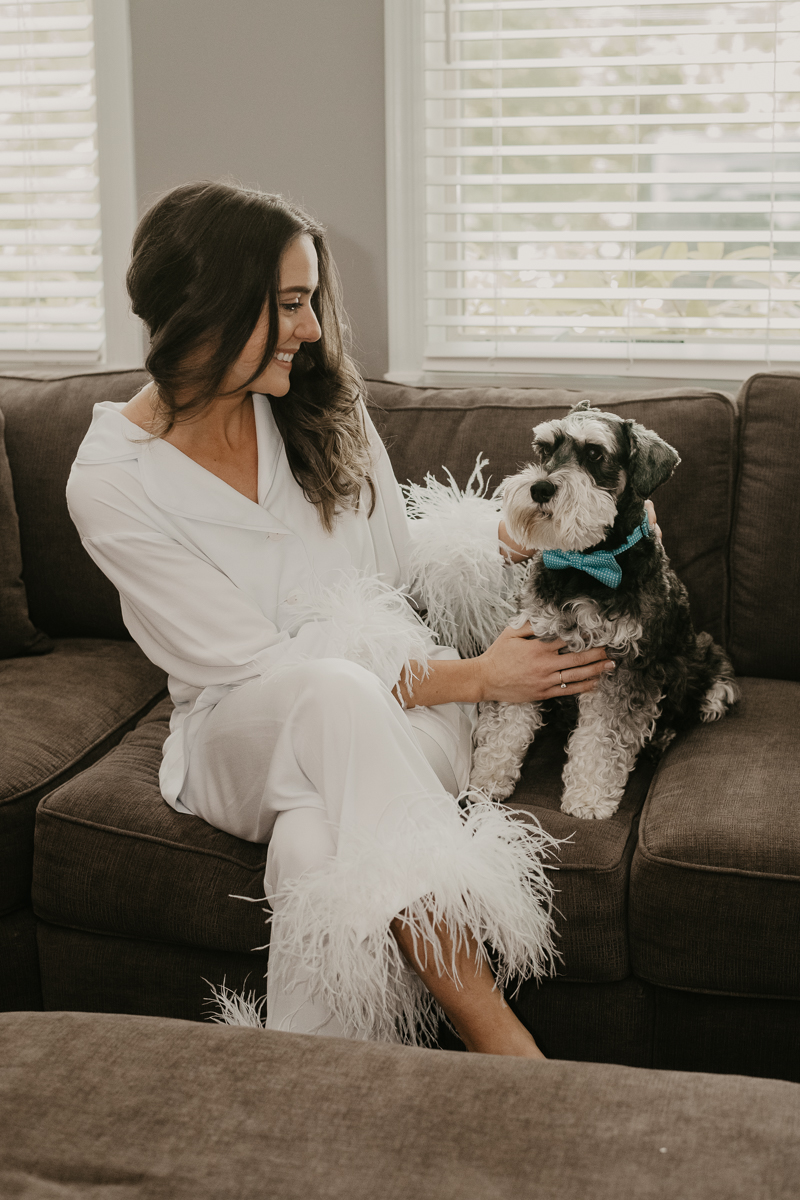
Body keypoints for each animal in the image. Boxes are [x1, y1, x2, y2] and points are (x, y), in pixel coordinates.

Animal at [470, 398, 738, 820]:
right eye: (544, 449)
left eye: (595, 454)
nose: (540, 487)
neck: (585, 563)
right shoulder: (527, 649)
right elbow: (506, 721)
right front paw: (489, 779)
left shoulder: (625, 667)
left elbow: (602, 738)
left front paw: (589, 798)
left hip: (706, 657)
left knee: (706, 695)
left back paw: (666, 733)